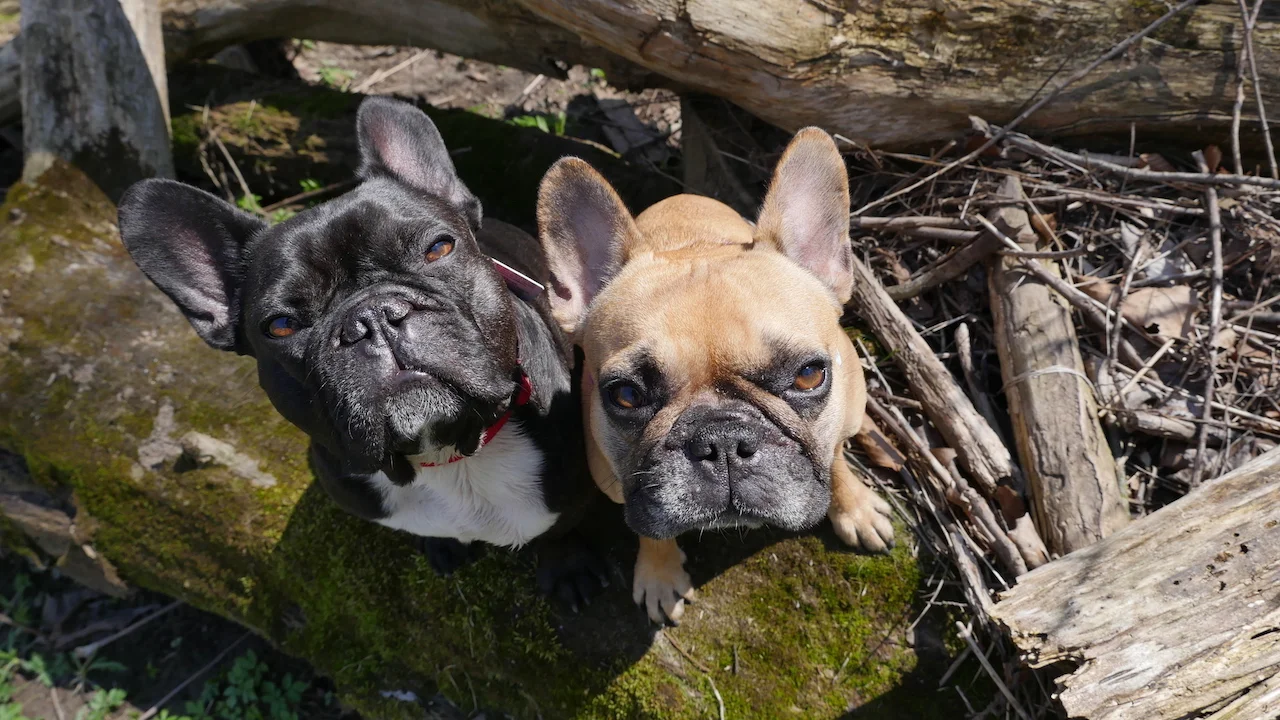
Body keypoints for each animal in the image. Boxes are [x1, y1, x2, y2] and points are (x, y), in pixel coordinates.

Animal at [118, 97, 604, 607]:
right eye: (281, 326)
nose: (371, 317)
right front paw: (443, 545)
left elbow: (561, 530)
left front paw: (568, 569)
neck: (446, 456)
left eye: (439, 248)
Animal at [536, 127, 895, 623]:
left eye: (808, 375)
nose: (722, 440)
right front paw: (659, 573)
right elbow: (651, 526)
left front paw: (854, 507)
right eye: (625, 394)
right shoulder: (623, 485)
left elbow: (835, 457)